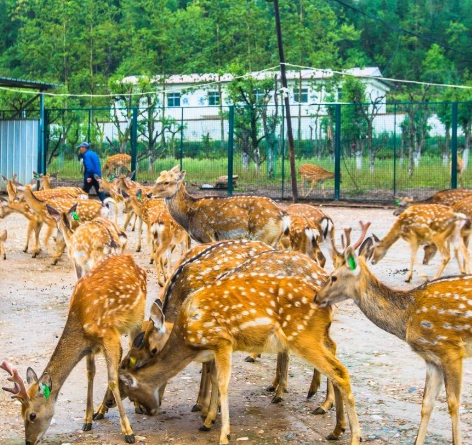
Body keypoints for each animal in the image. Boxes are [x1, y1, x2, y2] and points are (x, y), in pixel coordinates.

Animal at [0, 253, 146, 444]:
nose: (29, 441)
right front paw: (87, 420)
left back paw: (135, 406)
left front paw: (128, 431)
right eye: (21, 413)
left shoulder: (108, 335)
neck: (81, 320)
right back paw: (101, 410)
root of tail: (131, 258)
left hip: (137, 317)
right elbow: (90, 374)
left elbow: (112, 379)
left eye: (32, 415)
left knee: (133, 348)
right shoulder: (92, 345)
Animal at [149, 166, 290, 245]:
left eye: (166, 182)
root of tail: (283, 214)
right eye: (157, 180)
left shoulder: (206, 235)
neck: (189, 216)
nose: (149, 194)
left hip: (264, 235)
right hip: (274, 238)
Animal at [316, 239, 472, 444]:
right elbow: (426, 404)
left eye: (333, 277)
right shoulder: (431, 358)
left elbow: (453, 404)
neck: (407, 318)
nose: (316, 296)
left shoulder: (451, 350)